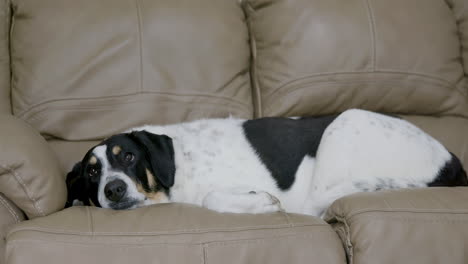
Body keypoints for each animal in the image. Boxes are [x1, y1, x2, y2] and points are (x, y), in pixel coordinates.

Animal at [66, 109, 468, 217]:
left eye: (129, 156)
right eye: (92, 172)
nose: (113, 190)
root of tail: (452, 160)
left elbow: (213, 196)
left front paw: (261, 201)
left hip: (343, 124)